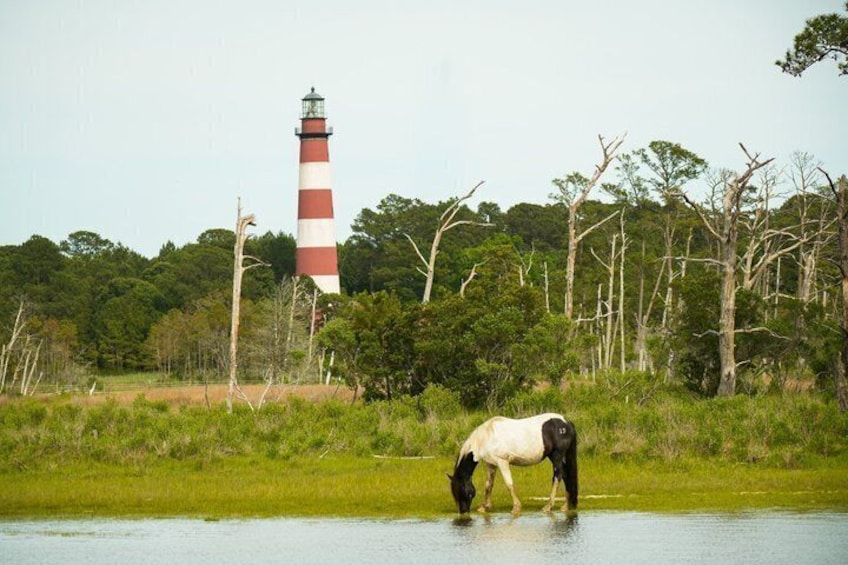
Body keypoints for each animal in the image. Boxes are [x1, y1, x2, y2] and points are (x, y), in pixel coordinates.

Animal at [448, 413, 578, 515]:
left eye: (460, 489)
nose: (463, 512)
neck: (486, 437)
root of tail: (566, 422)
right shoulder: (491, 464)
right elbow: (488, 485)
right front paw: (484, 507)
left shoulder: (502, 462)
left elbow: (509, 484)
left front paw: (516, 508)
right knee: (566, 477)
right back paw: (565, 506)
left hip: (557, 456)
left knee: (557, 477)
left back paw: (548, 506)